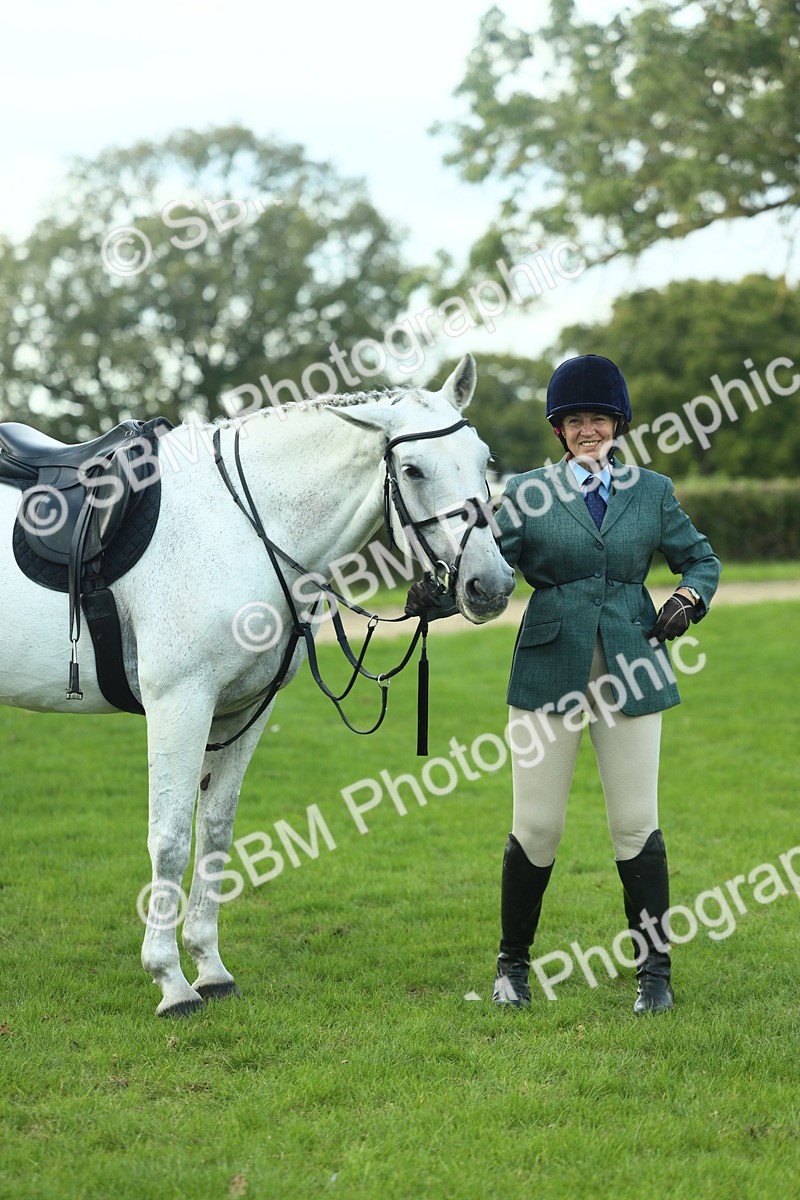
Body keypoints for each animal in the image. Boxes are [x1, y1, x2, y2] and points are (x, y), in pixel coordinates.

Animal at [0, 354, 515, 1016]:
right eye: (412, 468)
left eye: (484, 460)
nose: (491, 586)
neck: (241, 525)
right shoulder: (181, 704)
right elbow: (171, 839)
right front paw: (171, 982)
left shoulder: (243, 711)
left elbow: (215, 831)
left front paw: (210, 969)